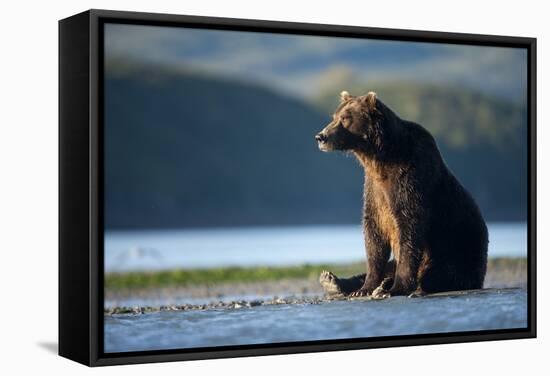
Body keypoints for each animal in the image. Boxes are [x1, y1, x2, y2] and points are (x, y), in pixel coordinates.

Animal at [316, 92, 490, 300]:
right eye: (334, 116)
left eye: (345, 118)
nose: (320, 136)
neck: (379, 158)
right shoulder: (374, 189)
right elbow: (374, 235)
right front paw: (364, 288)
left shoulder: (410, 177)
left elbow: (409, 227)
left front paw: (396, 288)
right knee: (391, 266)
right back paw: (333, 281)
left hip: (459, 249)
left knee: (441, 273)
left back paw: (399, 285)